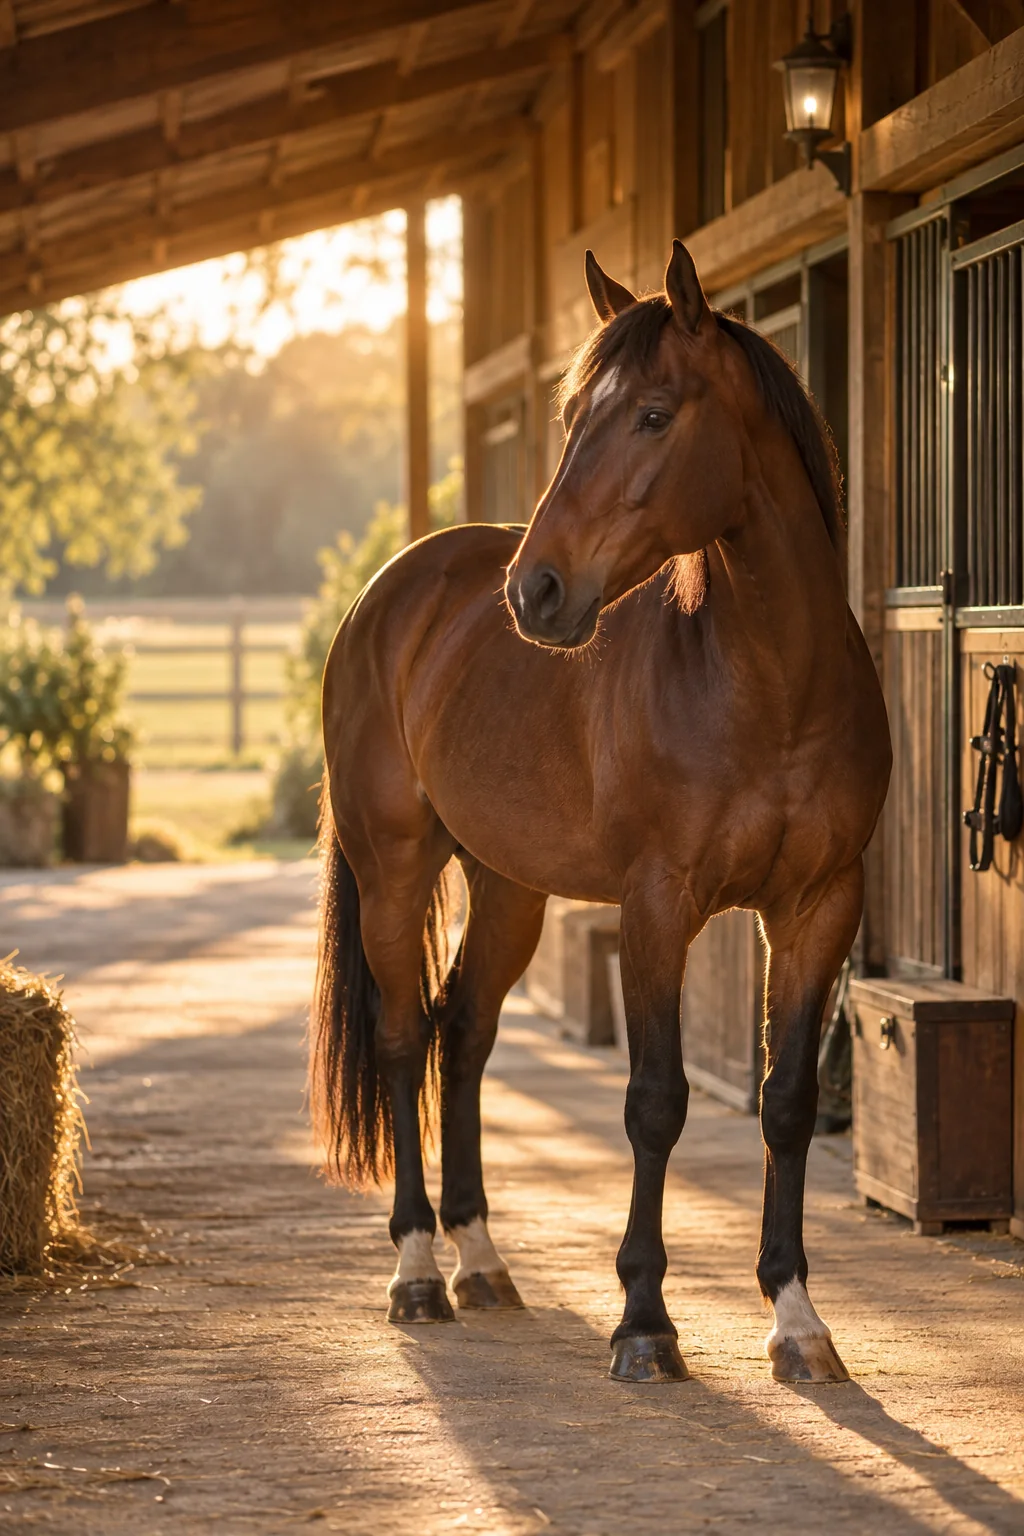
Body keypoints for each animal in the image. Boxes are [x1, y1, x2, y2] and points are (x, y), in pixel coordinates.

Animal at [312, 238, 891, 1385]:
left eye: (655, 415)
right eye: (575, 415)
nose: (535, 591)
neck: (773, 690)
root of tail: (384, 596)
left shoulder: (819, 909)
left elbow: (788, 1102)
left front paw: (798, 1320)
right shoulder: (657, 908)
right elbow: (655, 1101)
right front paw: (644, 1323)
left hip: (507, 889)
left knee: (464, 1032)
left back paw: (482, 1261)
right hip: (394, 870)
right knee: (404, 1039)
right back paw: (417, 1272)